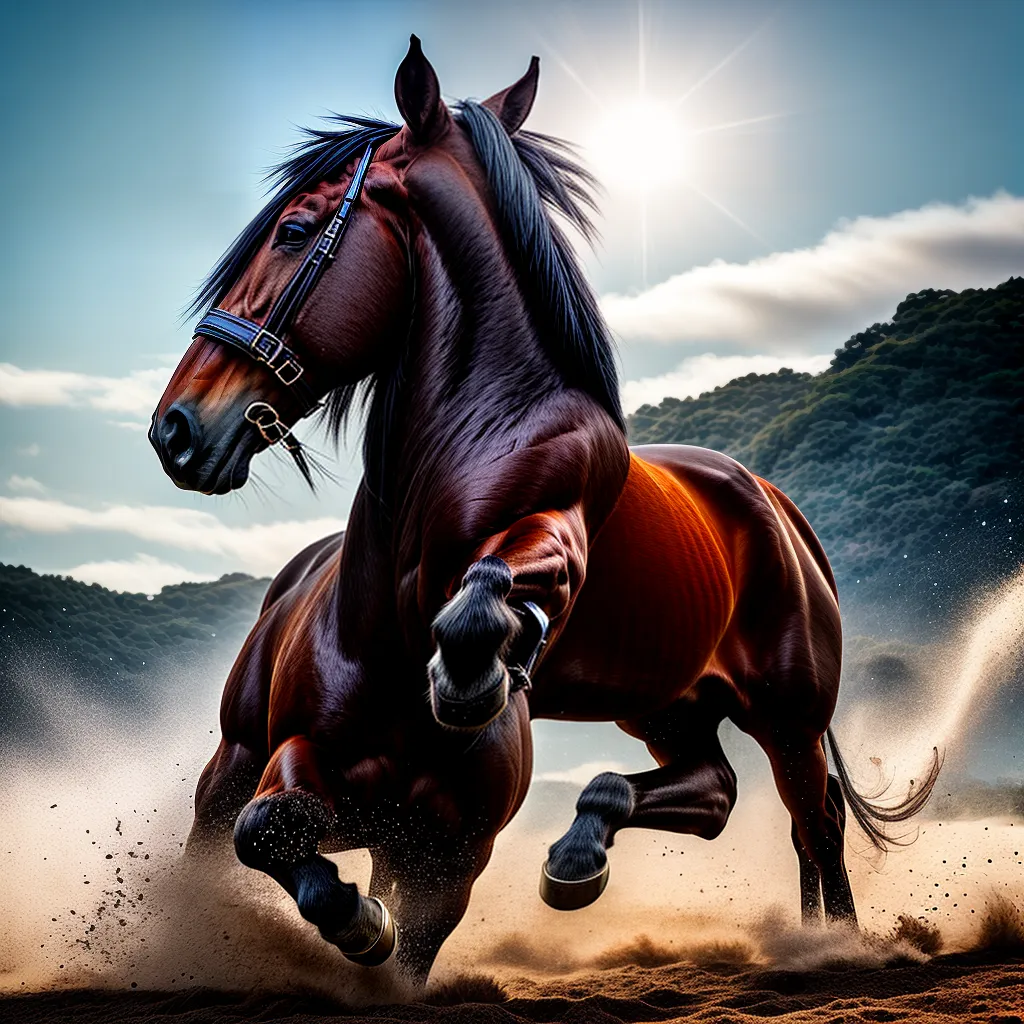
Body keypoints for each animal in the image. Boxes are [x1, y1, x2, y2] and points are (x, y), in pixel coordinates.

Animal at [150, 36, 940, 985]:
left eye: (296, 230)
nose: (177, 428)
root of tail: (780, 509)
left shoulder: (452, 846)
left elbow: (500, 582)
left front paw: (474, 671)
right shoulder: (307, 780)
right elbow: (272, 833)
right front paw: (359, 920)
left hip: (785, 716)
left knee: (810, 822)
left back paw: (823, 943)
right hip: (644, 711)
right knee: (716, 792)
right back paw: (579, 855)